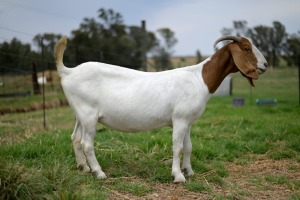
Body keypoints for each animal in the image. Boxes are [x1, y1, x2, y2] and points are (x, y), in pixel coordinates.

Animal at [54, 35, 268, 183]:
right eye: (247, 48)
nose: (265, 65)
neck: (199, 78)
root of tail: (68, 71)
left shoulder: (187, 121)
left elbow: (189, 147)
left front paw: (189, 171)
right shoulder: (180, 119)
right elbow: (178, 147)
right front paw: (178, 176)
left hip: (80, 115)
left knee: (75, 138)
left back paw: (83, 168)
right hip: (89, 115)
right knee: (87, 144)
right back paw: (99, 173)